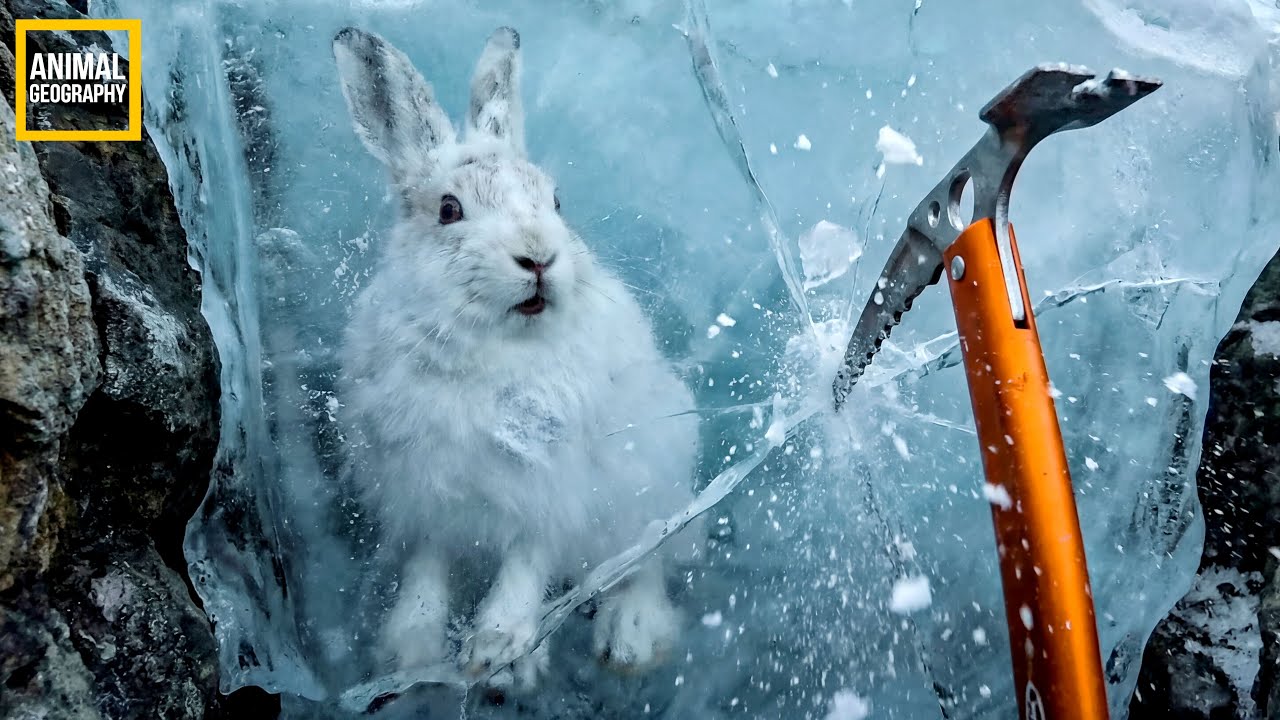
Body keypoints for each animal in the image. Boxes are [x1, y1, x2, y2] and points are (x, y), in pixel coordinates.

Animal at [332, 26, 702, 691]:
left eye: (555, 200)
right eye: (448, 209)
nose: (538, 256)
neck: (493, 348)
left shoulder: (550, 487)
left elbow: (527, 561)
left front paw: (497, 647)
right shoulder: (423, 493)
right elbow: (428, 562)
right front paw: (412, 648)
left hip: (650, 472)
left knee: (646, 558)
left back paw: (630, 638)